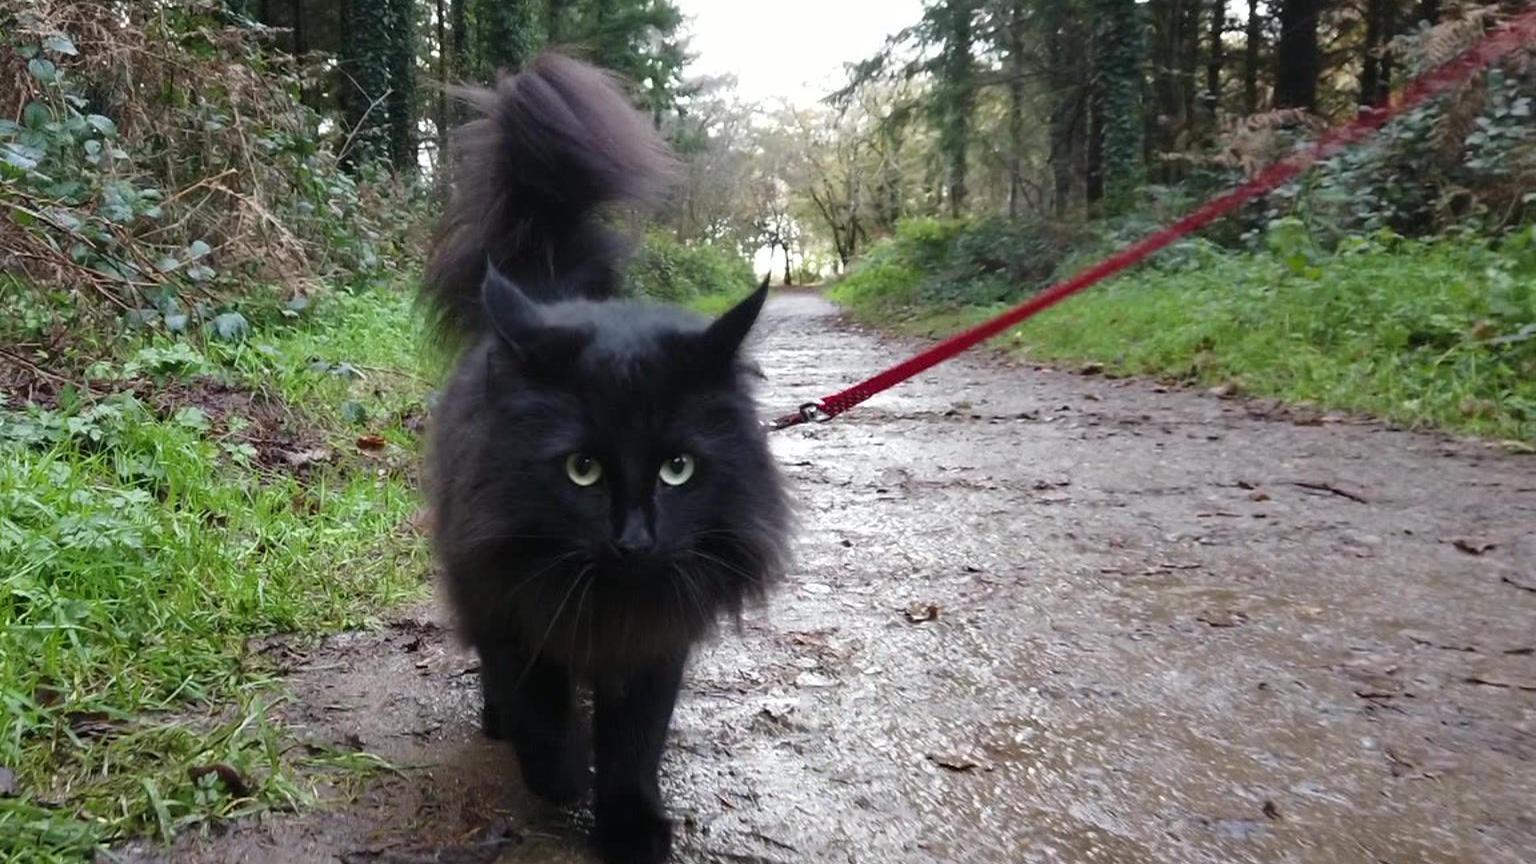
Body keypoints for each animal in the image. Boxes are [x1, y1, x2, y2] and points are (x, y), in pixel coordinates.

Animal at [420, 55, 792, 860]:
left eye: (678, 470)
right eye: (581, 470)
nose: (635, 540)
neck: (609, 601)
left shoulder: (657, 636)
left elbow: (635, 741)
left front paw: (630, 823)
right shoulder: (506, 597)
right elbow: (538, 706)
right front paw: (562, 775)